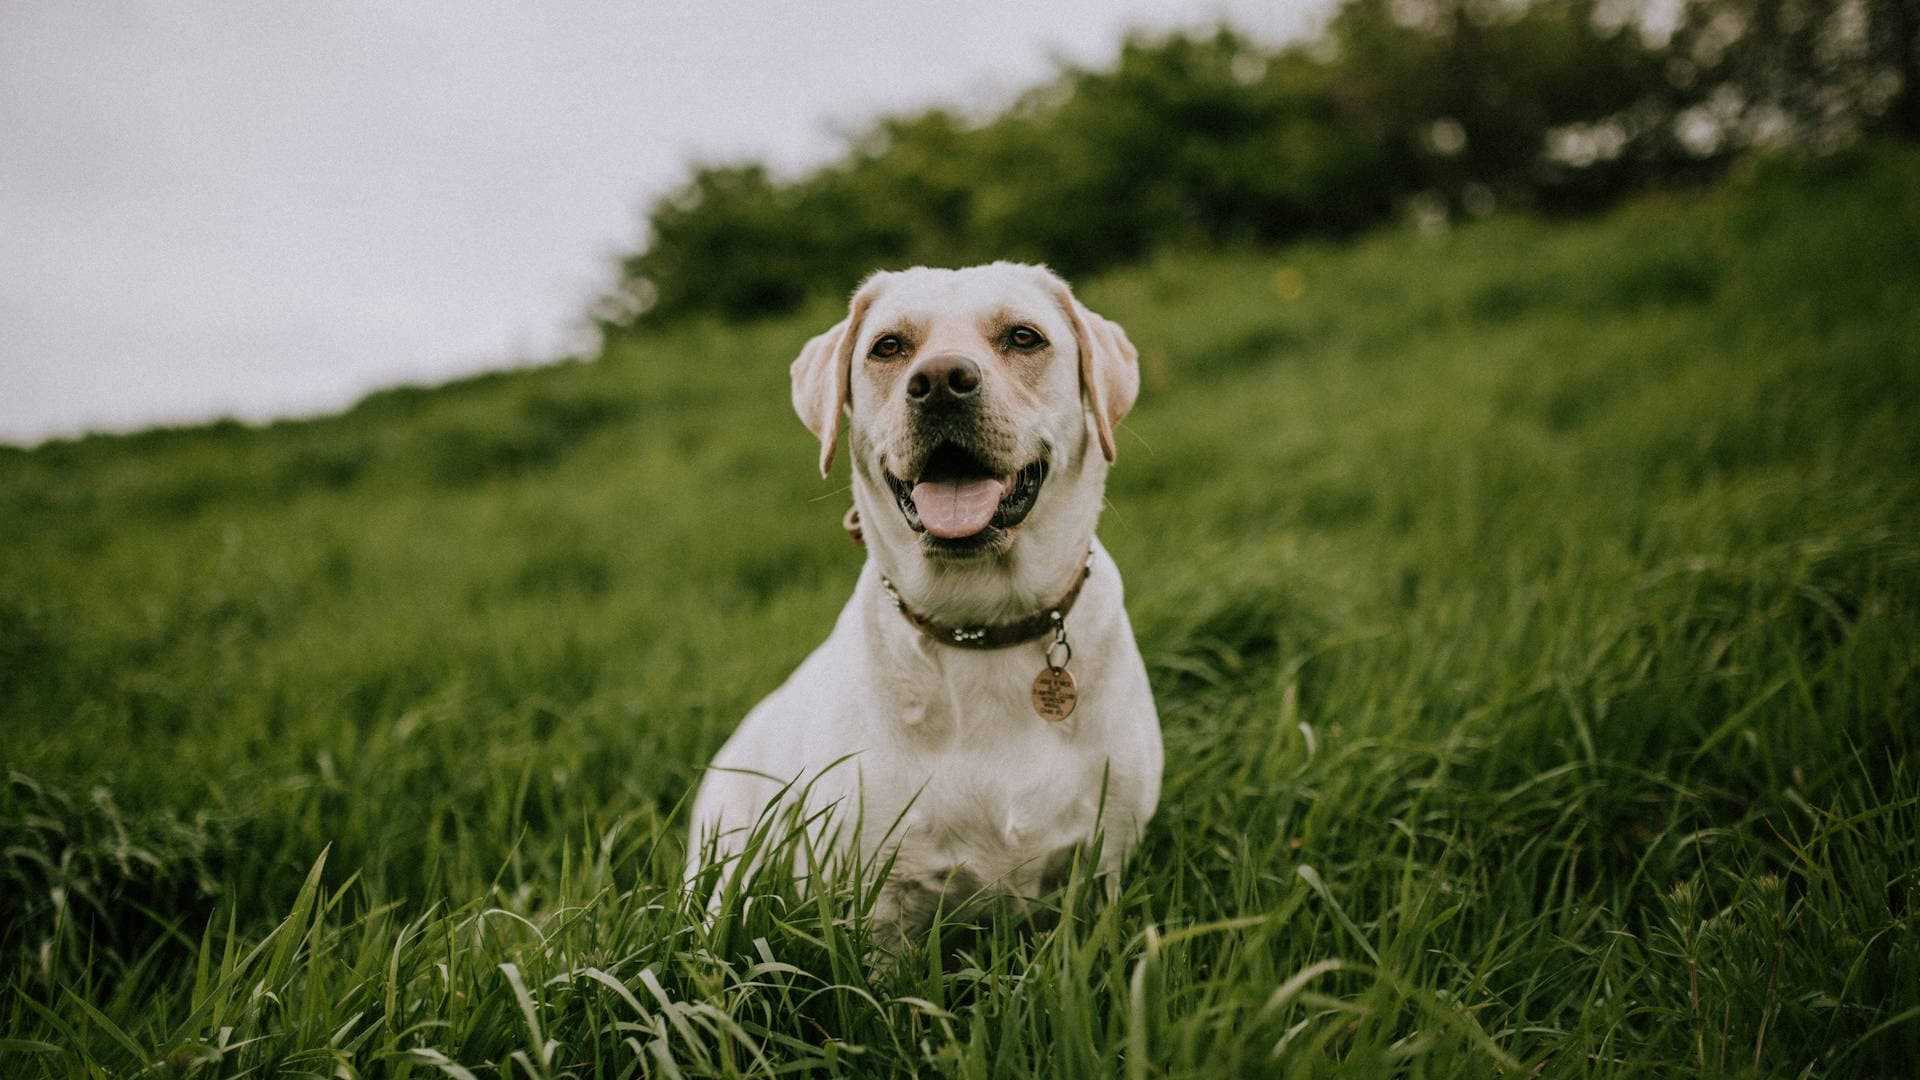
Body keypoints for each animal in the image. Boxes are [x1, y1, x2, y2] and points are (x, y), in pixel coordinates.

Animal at [691, 265, 1159, 945]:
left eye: (1024, 336)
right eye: (888, 347)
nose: (939, 381)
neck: (980, 628)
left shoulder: (1106, 864)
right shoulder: (876, 895)